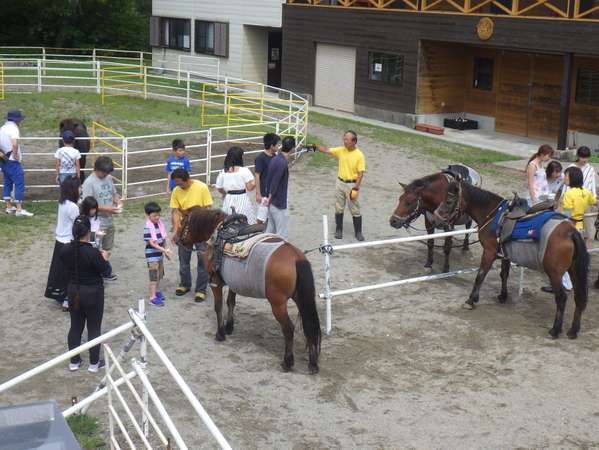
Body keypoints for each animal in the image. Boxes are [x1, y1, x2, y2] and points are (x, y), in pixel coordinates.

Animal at [180, 207, 322, 372]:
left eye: (184, 222)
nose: (179, 240)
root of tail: (295, 256)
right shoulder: (233, 281)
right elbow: (231, 302)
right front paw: (229, 327)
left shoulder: (215, 282)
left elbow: (218, 306)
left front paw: (220, 333)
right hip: (301, 299)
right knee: (309, 325)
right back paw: (312, 363)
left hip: (278, 304)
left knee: (288, 329)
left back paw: (287, 362)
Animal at [434, 181, 588, 340]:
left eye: (449, 201)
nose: (436, 218)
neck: (494, 217)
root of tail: (570, 232)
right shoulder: (505, 254)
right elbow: (504, 274)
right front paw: (503, 296)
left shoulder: (489, 252)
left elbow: (480, 275)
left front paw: (471, 300)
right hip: (573, 270)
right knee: (579, 297)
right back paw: (573, 330)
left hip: (555, 274)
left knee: (561, 298)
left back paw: (555, 330)